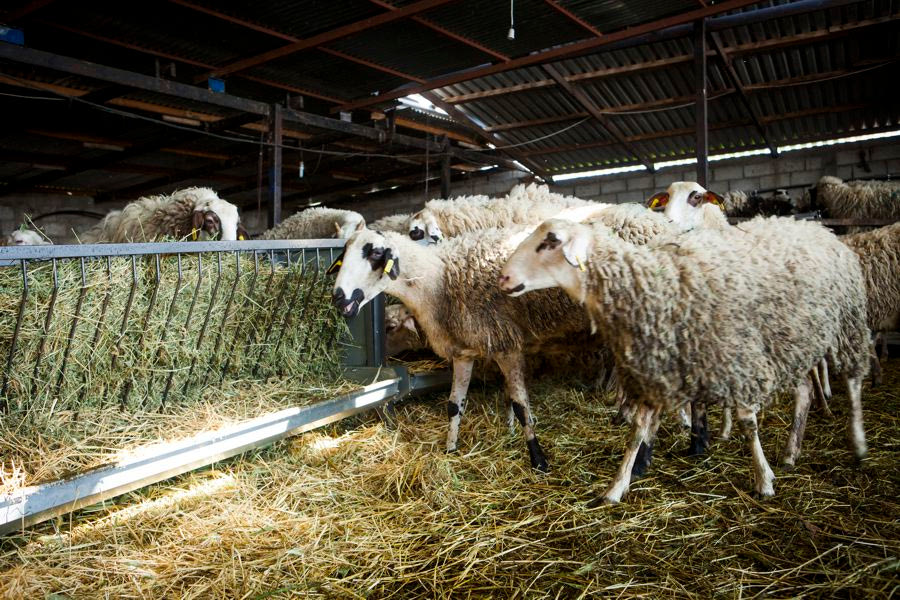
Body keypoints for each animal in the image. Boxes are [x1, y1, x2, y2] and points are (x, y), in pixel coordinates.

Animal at [330, 223, 592, 472]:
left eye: (375, 253)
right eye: (343, 255)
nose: (338, 297)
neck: (439, 281)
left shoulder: (506, 345)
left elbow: (520, 405)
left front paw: (538, 460)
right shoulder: (463, 352)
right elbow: (455, 405)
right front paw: (450, 449)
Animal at [502, 216, 868, 502]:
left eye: (550, 241)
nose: (503, 278)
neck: (653, 284)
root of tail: (814, 227)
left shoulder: (736, 356)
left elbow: (748, 423)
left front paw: (763, 480)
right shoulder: (656, 368)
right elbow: (638, 430)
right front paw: (617, 486)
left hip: (848, 322)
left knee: (852, 383)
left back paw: (858, 445)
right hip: (796, 339)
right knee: (805, 391)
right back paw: (792, 452)